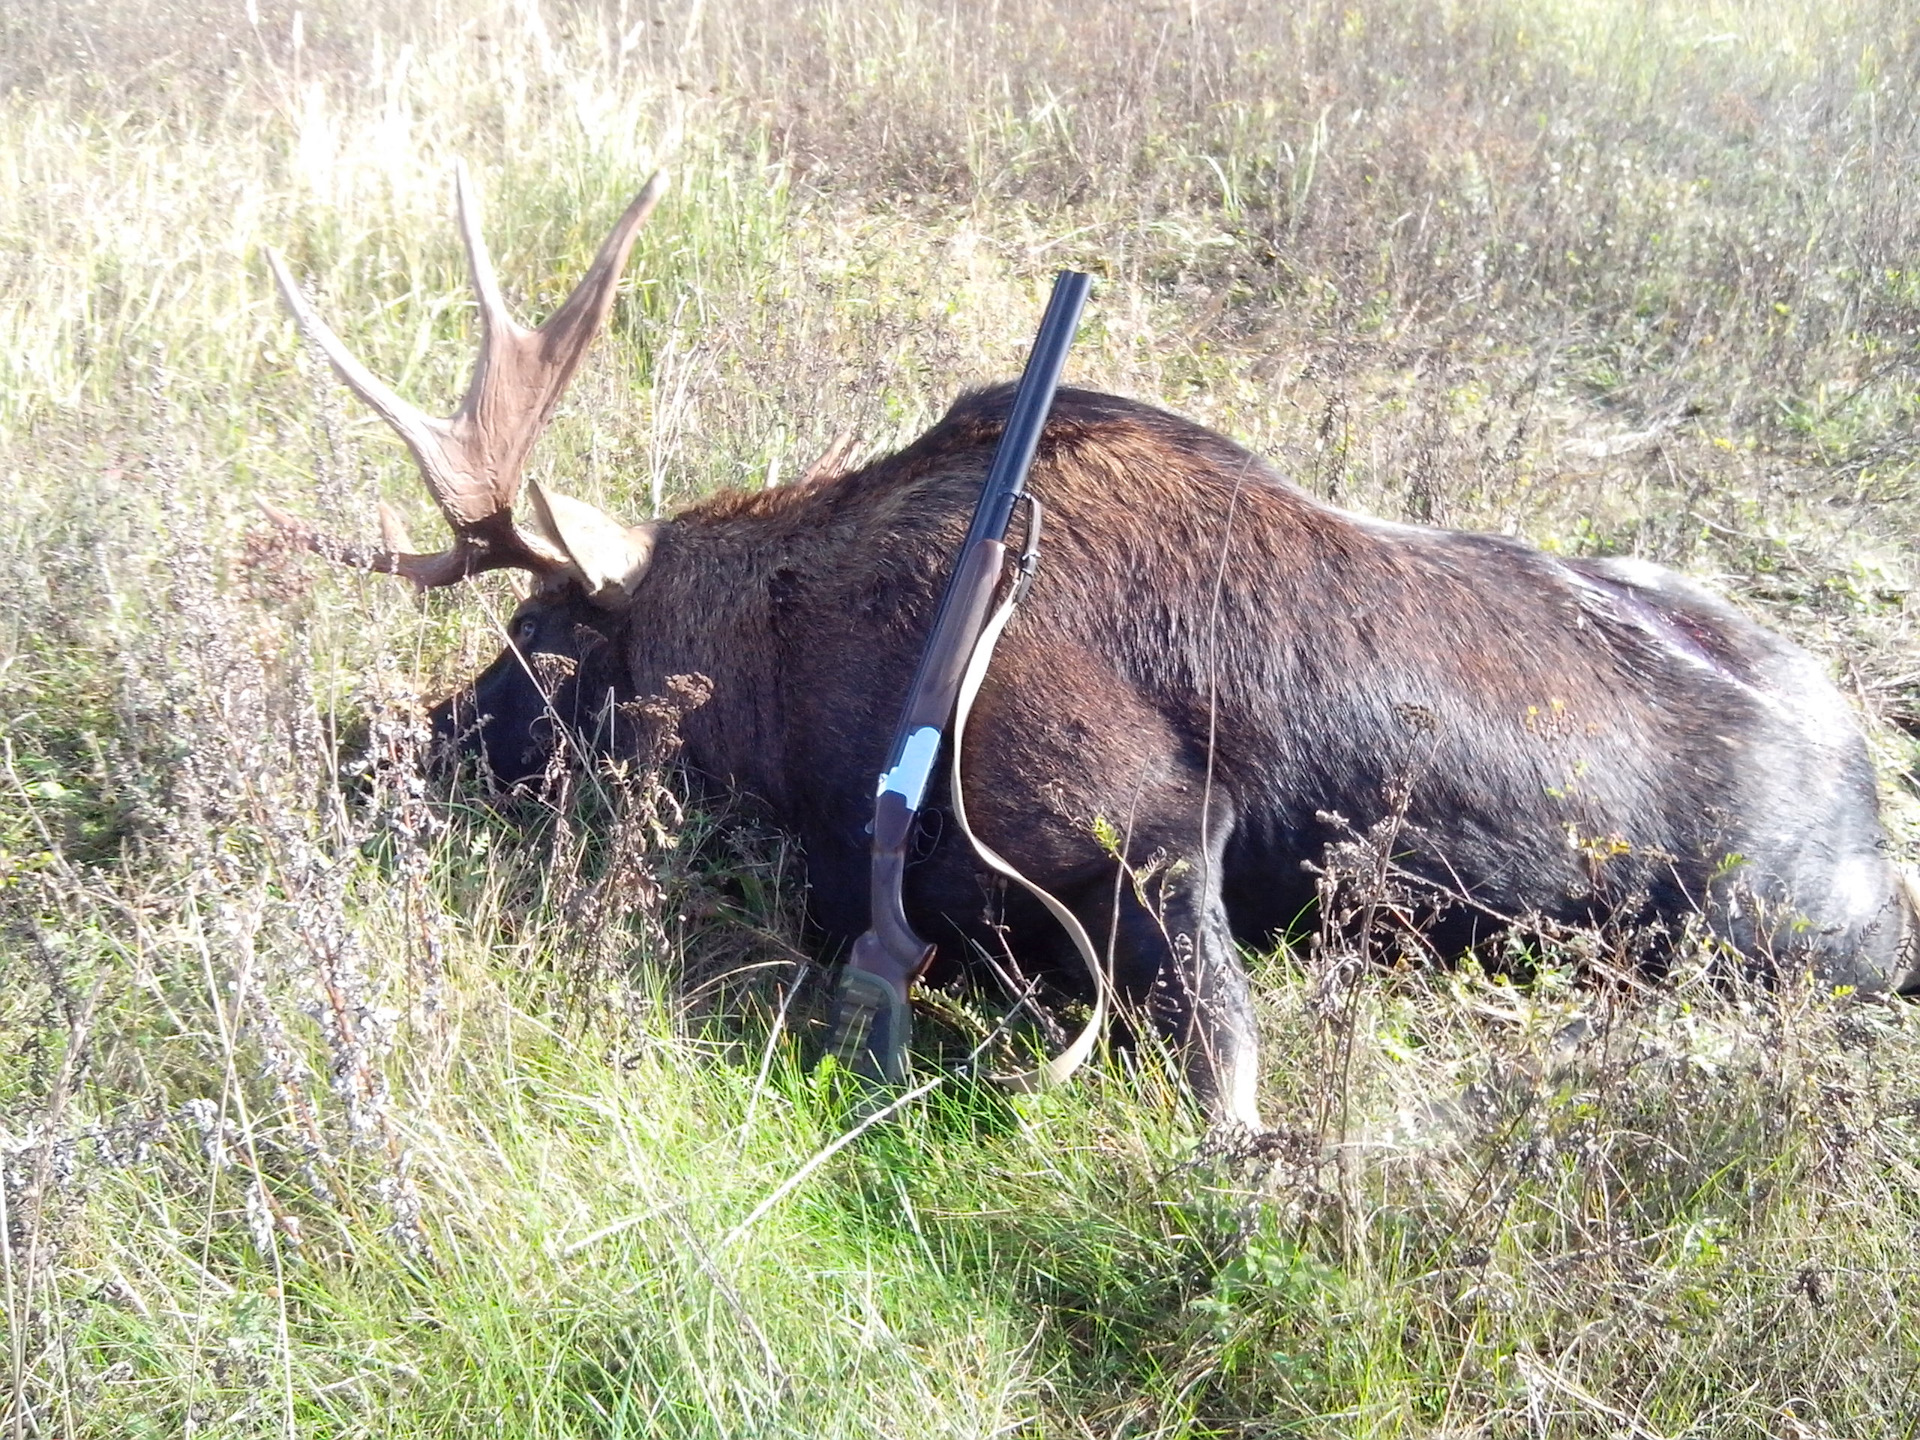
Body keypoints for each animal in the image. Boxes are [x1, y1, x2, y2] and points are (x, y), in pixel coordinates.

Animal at [266, 174, 1920, 1136]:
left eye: (535, 640)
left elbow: (1222, 1095)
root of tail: (1869, 776)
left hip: (1794, 940)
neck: (783, 685)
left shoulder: (1142, 825)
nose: (385, 742)